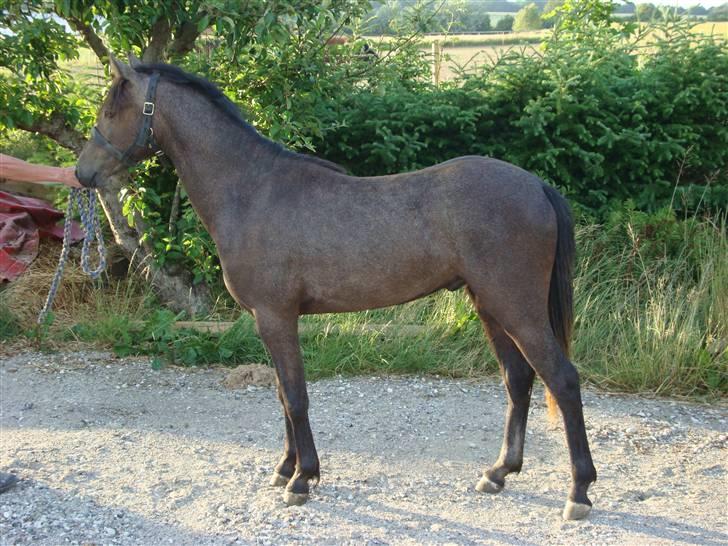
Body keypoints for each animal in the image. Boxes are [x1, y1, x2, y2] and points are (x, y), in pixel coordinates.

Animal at [76, 55, 596, 520]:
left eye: (111, 110)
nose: (83, 173)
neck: (251, 190)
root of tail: (536, 186)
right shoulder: (270, 321)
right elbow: (283, 394)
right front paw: (285, 469)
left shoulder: (276, 316)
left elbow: (296, 396)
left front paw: (302, 479)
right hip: (490, 306)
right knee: (519, 379)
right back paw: (499, 472)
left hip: (518, 309)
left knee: (562, 380)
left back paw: (579, 492)